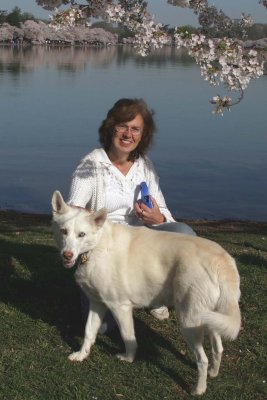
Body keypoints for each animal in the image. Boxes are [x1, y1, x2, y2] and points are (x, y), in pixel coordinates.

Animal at [51, 191, 242, 396]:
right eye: (64, 231)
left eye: (82, 234)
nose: (67, 255)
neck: (96, 247)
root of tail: (221, 261)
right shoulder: (97, 304)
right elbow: (88, 332)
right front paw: (81, 355)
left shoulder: (120, 307)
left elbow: (128, 338)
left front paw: (128, 358)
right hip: (211, 319)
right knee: (218, 348)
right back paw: (214, 373)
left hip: (189, 321)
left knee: (202, 359)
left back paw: (198, 389)